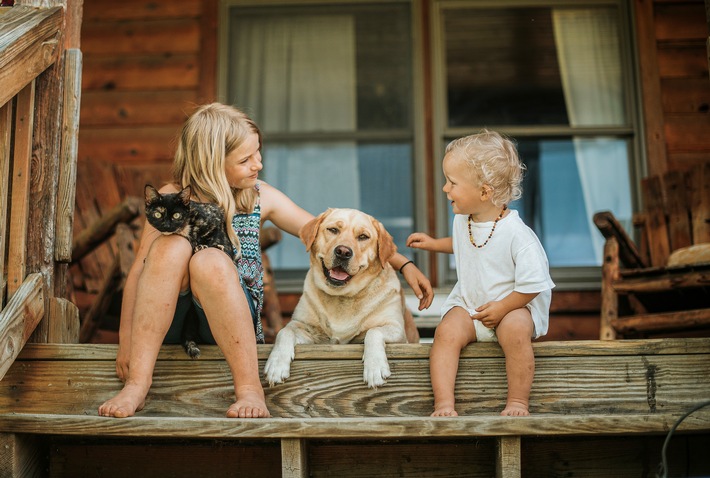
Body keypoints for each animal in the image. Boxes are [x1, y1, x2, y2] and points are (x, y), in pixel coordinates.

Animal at [144, 185, 239, 360]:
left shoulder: (215, 216)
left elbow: (216, 238)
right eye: (158, 214)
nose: (166, 225)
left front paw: (209, 245)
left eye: (176, 215)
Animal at [268, 209, 412, 388]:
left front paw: (375, 367)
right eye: (333, 230)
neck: (341, 296)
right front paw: (276, 364)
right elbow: (284, 331)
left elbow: (374, 331)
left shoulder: (398, 331)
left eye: (363, 236)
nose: (343, 252)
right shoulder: (307, 330)